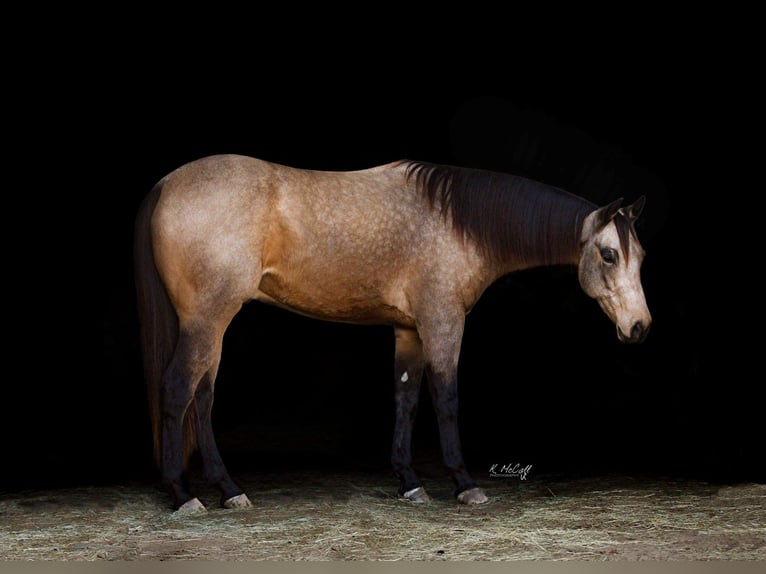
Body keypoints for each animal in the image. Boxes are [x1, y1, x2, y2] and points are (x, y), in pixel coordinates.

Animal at [135, 154, 652, 512]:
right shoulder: (443, 323)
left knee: (202, 397)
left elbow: (406, 399)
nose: (639, 326)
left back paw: (228, 490)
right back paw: (184, 495)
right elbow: (446, 398)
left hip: (214, 324)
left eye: (640, 255)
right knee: (178, 389)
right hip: (207, 319)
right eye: (609, 254)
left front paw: (410, 483)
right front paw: (464, 484)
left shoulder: (408, 330)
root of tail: (165, 184)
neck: (456, 222)